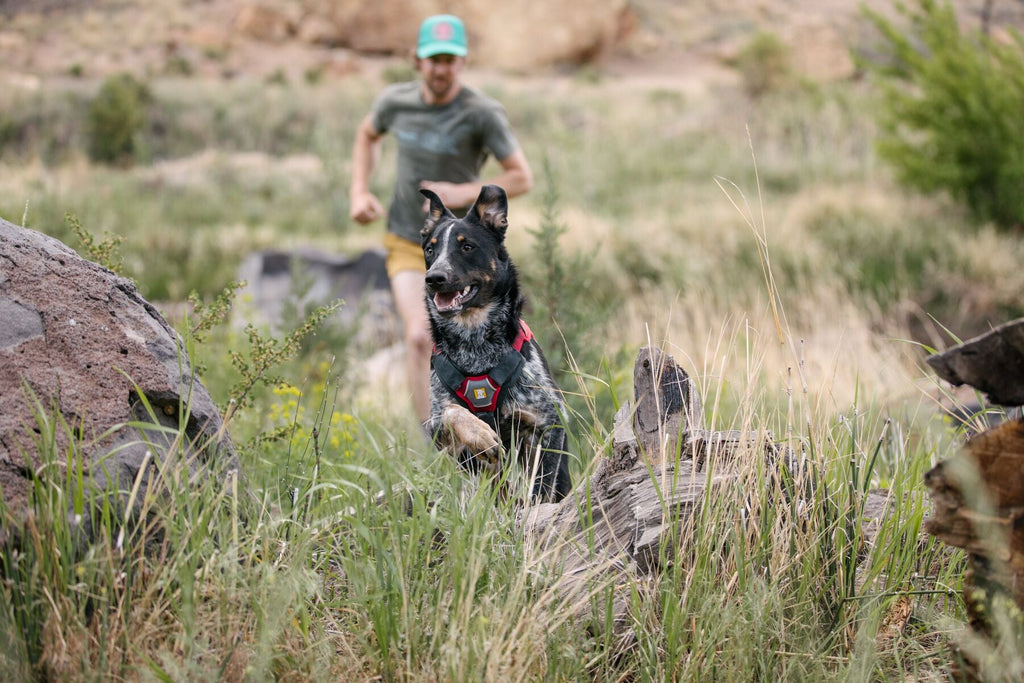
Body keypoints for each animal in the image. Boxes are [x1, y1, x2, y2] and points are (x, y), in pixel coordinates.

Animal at [419, 185, 573, 501]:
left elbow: (542, 483)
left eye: (467, 247)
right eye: (430, 249)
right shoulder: (436, 426)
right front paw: (480, 433)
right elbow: (453, 413)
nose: (434, 278)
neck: (475, 341)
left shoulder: (549, 420)